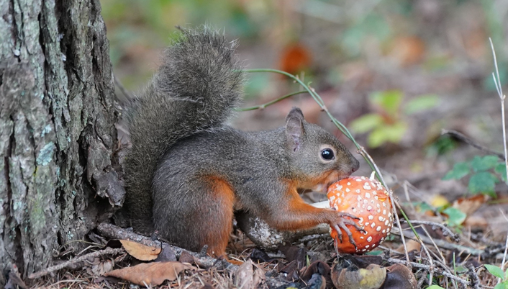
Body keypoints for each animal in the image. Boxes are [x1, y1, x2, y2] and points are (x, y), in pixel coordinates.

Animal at [123, 27, 362, 256]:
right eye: (327, 154)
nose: (356, 165)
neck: (279, 159)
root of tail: (160, 228)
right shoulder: (265, 182)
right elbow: (282, 215)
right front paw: (332, 216)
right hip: (209, 200)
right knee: (211, 249)